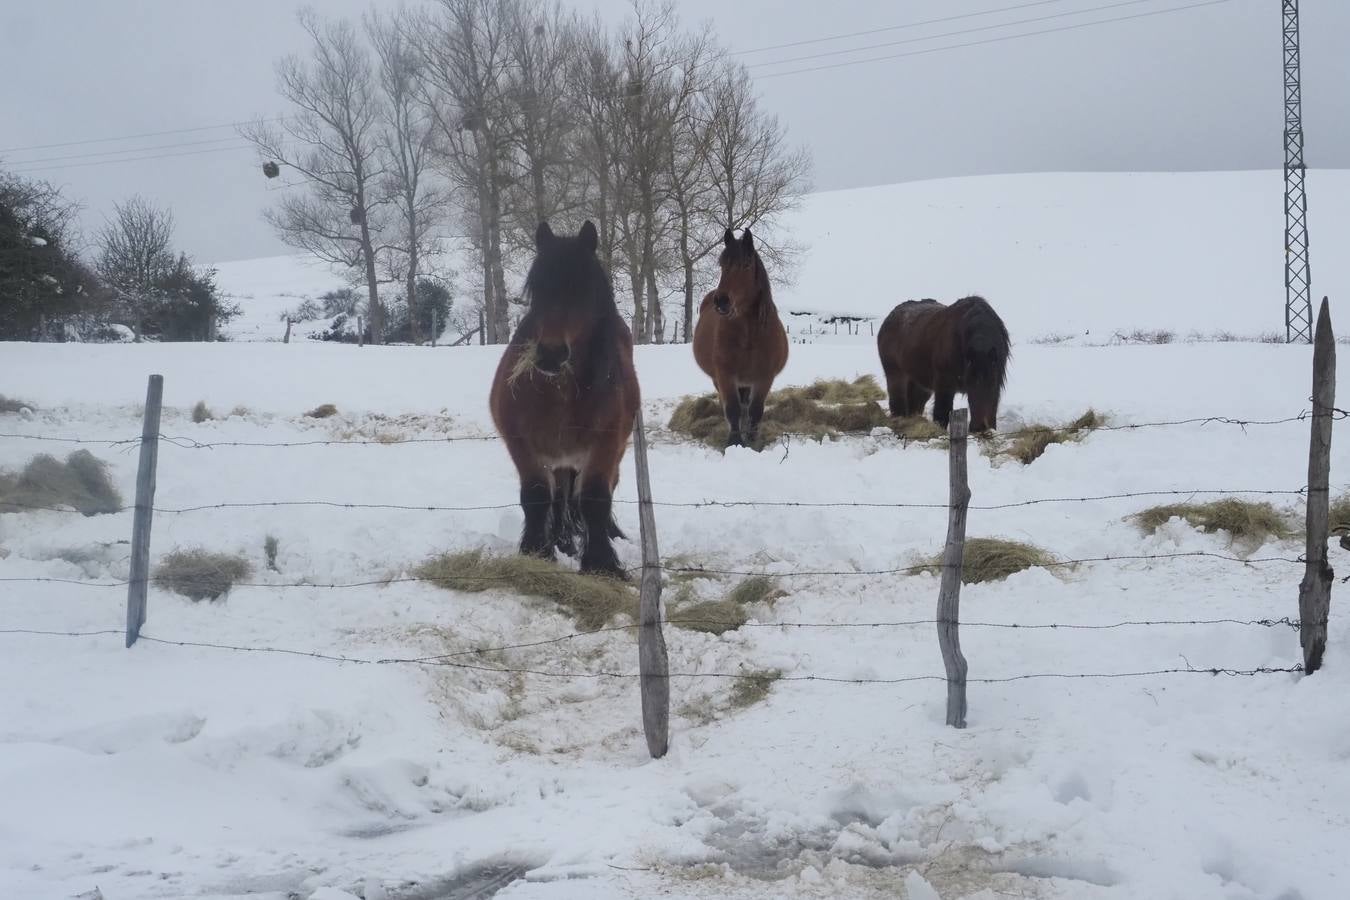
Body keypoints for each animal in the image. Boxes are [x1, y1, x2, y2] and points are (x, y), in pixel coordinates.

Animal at [488, 221, 639, 580]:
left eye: (582, 289)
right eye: (537, 289)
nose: (551, 354)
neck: (560, 392)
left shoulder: (606, 444)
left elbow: (596, 498)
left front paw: (601, 562)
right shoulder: (521, 443)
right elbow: (536, 496)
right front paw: (537, 552)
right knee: (559, 496)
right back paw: (562, 540)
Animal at [691, 226, 788, 447]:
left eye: (746, 264)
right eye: (722, 265)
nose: (722, 301)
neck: (749, 335)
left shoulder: (764, 377)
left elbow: (755, 410)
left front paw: (752, 441)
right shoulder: (726, 376)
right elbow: (732, 409)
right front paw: (734, 442)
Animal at [880, 295, 1009, 431]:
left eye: (993, 382)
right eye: (970, 383)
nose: (981, 427)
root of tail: (889, 318)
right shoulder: (944, 385)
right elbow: (942, 412)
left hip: (920, 384)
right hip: (896, 375)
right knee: (897, 404)